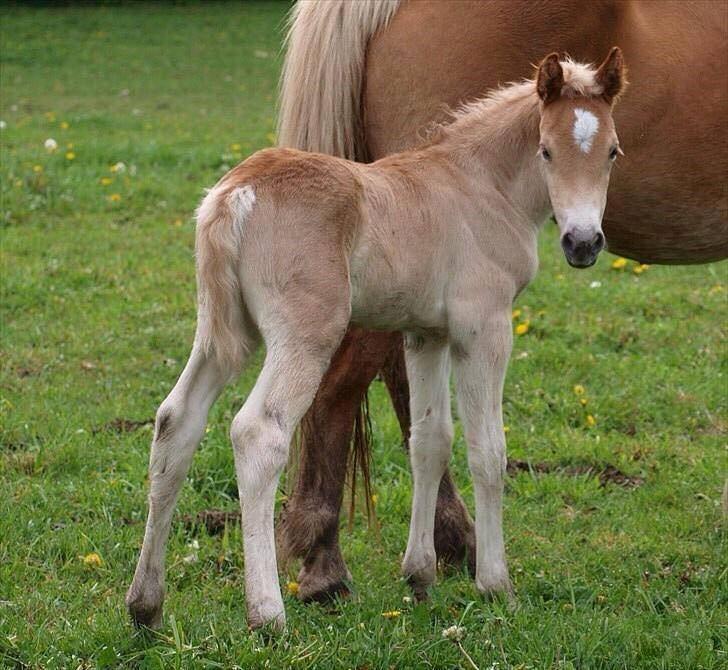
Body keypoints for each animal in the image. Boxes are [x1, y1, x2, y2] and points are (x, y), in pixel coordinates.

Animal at [126, 50, 624, 632]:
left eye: (612, 152)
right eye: (546, 150)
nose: (583, 243)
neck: (479, 187)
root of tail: (235, 195)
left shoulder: (426, 335)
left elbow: (430, 442)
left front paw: (420, 575)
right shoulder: (483, 328)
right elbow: (488, 451)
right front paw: (496, 585)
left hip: (224, 332)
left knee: (175, 421)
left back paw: (145, 605)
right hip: (305, 337)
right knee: (258, 432)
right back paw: (267, 614)